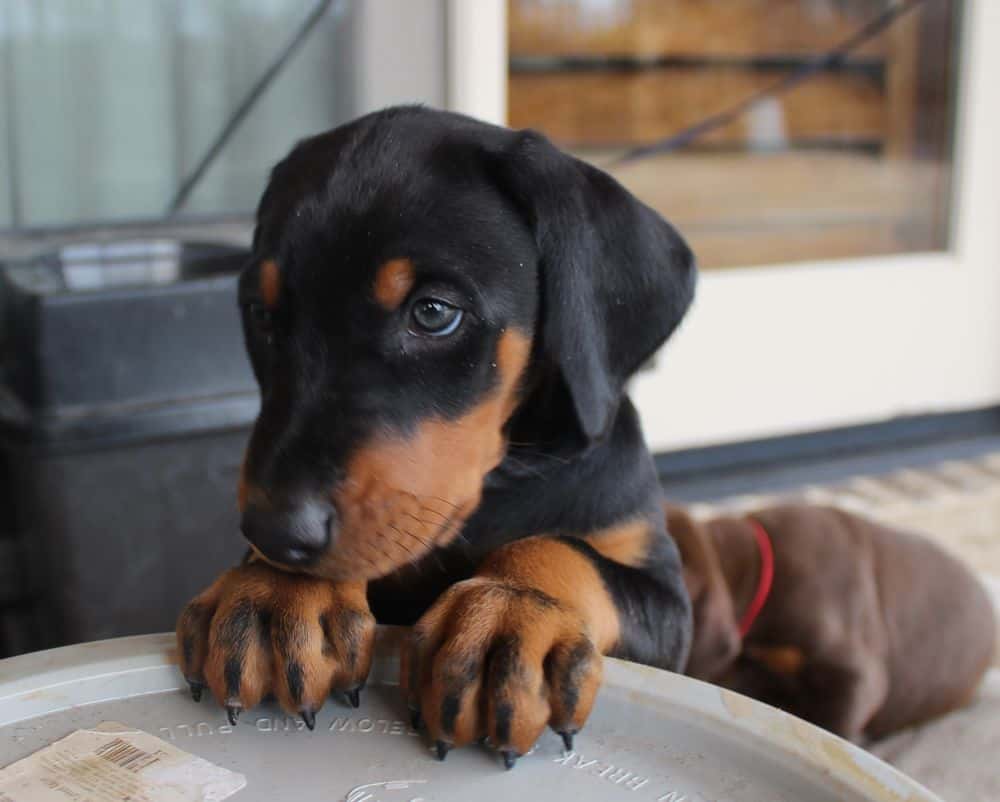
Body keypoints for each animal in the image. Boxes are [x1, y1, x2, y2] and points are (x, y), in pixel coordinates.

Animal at [178, 104, 696, 764]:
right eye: (263, 314)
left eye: (433, 312)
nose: (275, 532)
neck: (502, 479)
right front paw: (272, 591)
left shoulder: (667, 603)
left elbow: (562, 546)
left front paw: (507, 610)